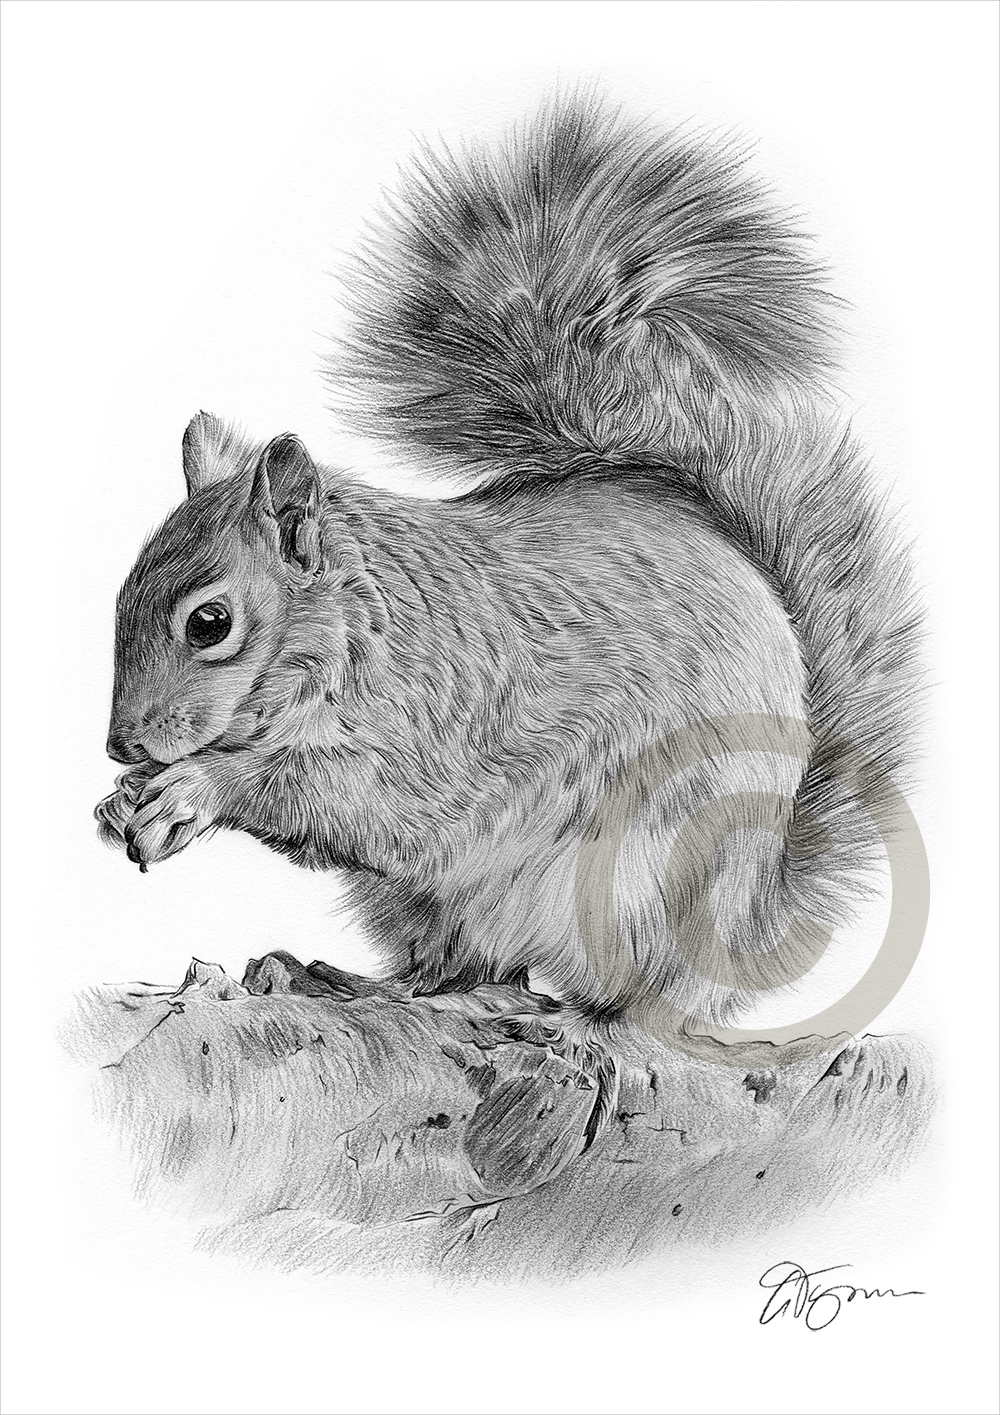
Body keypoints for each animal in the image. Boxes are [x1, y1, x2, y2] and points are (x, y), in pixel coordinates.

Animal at [96, 95, 919, 1147]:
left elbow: (344, 797)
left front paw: (198, 789)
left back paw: (569, 1019)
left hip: (645, 874)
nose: (121, 746)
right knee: (455, 966)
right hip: (431, 905)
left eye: (209, 622)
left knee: (630, 1000)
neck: (357, 629)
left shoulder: (438, 726)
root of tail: (747, 920)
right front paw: (125, 802)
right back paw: (353, 981)